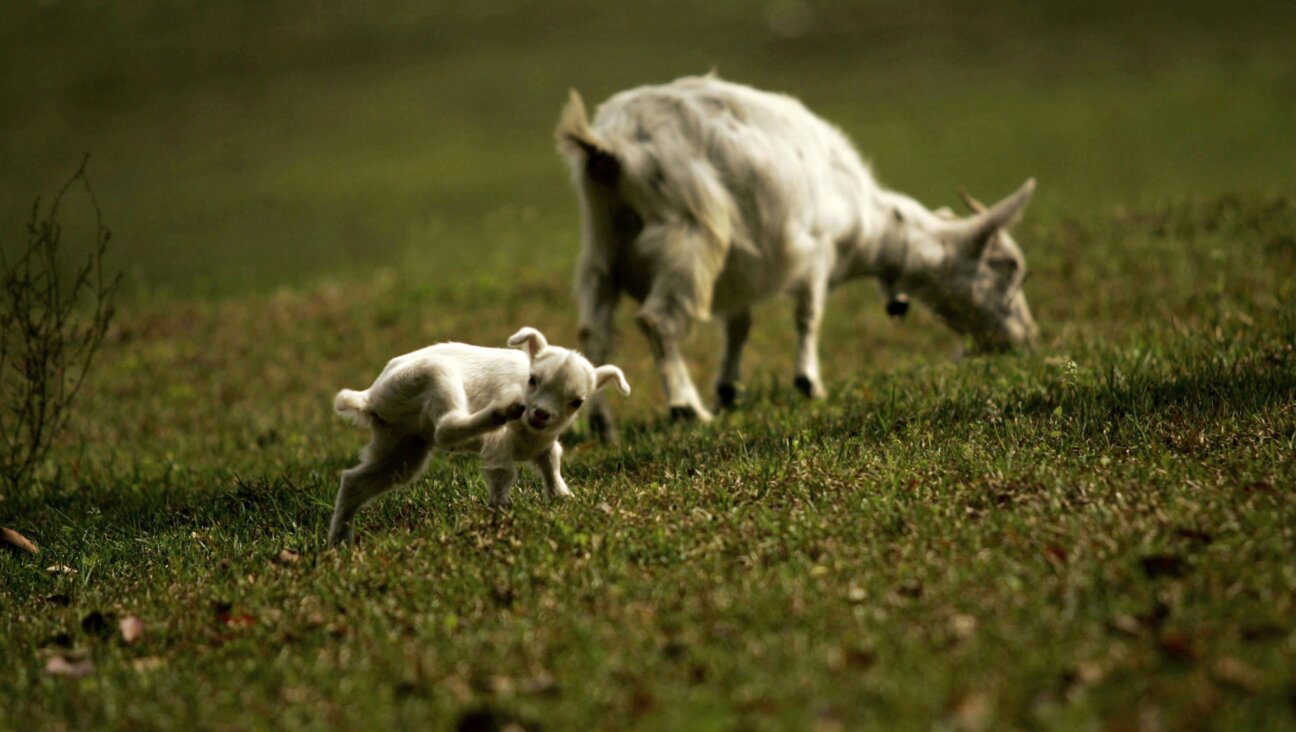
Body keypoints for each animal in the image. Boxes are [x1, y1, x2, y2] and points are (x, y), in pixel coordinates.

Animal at [328, 327, 630, 545]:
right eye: (533, 380)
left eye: (577, 402)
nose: (541, 414)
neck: (530, 434)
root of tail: (370, 395)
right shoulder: (498, 445)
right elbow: (503, 473)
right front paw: (503, 512)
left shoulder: (544, 445)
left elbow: (552, 465)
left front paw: (564, 499)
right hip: (434, 377)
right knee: (446, 428)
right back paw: (499, 412)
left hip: (401, 444)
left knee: (355, 481)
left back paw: (339, 541)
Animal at [557, 75, 1038, 440]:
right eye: (1008, 267)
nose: (1027, 340)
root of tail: (608, 146)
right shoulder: (815, 252)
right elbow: (809, 316)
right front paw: (809, 383)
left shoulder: (742, 269)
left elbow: (740, 327)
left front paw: (729, 389)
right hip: (689, 236)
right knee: (657, 319)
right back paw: (685, 406)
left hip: (602, 248)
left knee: (593, 332)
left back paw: (602, 425)